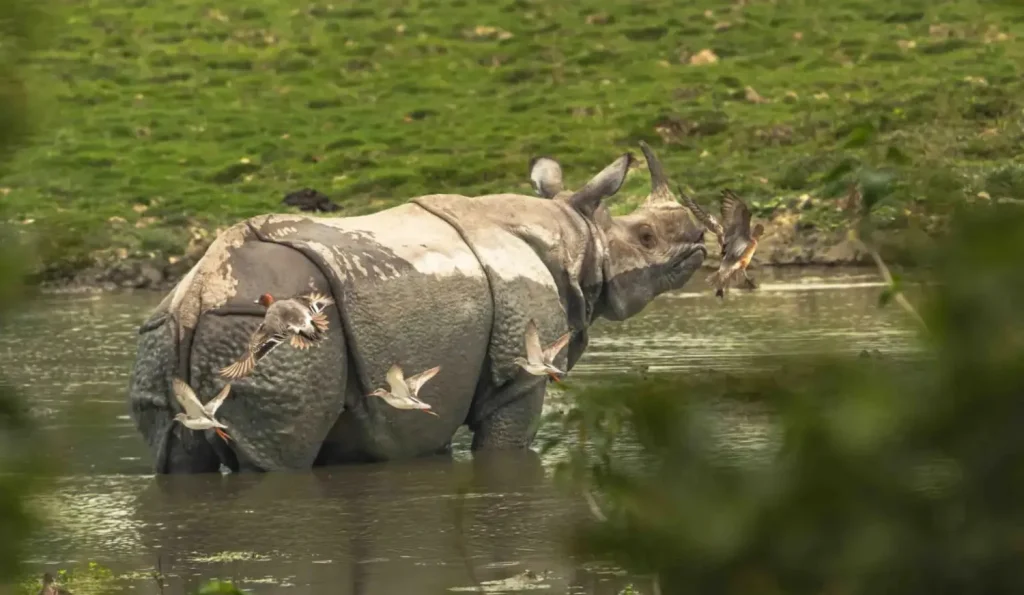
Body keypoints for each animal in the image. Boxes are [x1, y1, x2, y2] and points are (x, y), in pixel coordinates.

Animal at [128, 141, 707, 473]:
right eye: (647, 236)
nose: (703, 239)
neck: (576, 235)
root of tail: (197, 294)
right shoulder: (518, 375)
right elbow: (506, 440)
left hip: (171, 331)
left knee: (177, 460)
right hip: (261, 335)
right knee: (278, 462)